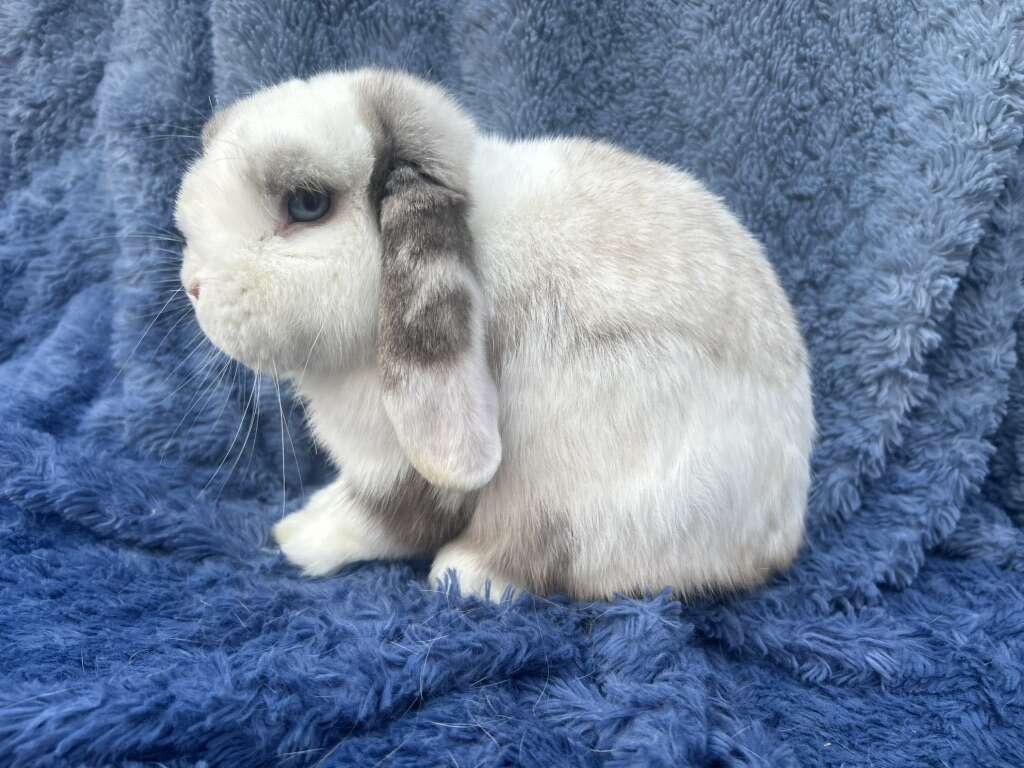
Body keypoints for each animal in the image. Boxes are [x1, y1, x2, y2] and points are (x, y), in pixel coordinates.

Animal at [176, 69, 815, 606]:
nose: (193, 285)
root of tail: (778, 537)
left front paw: (301, 538)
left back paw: (465, 575)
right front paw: (305, 516)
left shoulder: (408, 465)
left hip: (582, 481)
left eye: (307, 204)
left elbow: (385, 517)